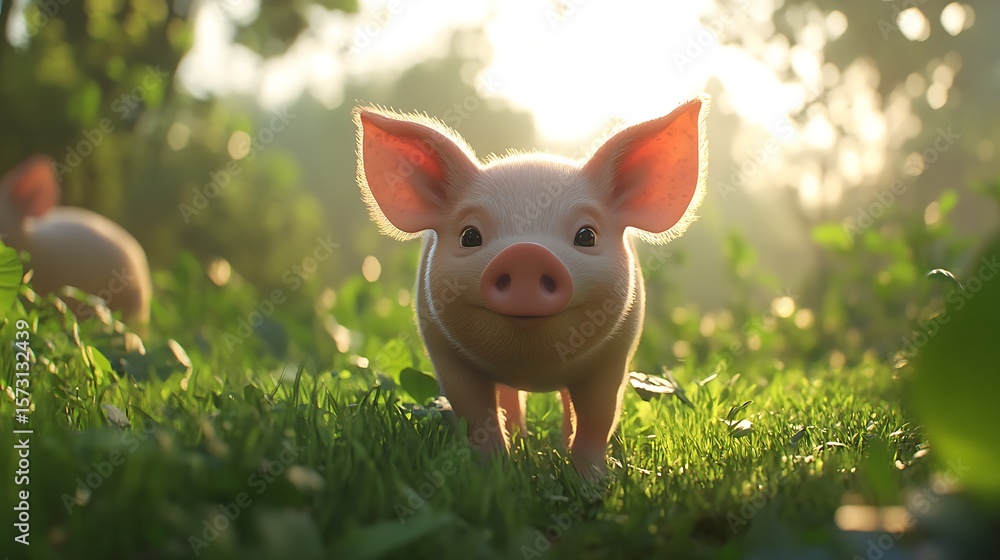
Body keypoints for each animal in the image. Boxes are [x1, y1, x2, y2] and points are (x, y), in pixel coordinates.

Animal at [354, 96, 708, 478]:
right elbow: (476, 414)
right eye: (470, 236)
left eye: (586, 235)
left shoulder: (615, 355)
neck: (532, 364)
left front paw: (593, 480)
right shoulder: (445, 355)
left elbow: (598, 417)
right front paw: (494, 475)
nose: (526, 253)